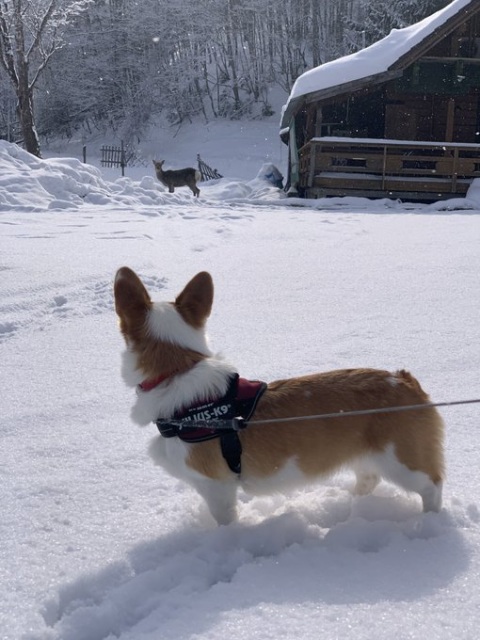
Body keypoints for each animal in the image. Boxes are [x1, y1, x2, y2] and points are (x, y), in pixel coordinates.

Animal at [114, 266, 444, 524]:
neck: (176, 368)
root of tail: (404, 379)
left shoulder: (217, 486)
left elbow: (225, 520)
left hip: (402, 462)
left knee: (432, 486)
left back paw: (431, 524)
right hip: (367, 456)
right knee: (369, 478)